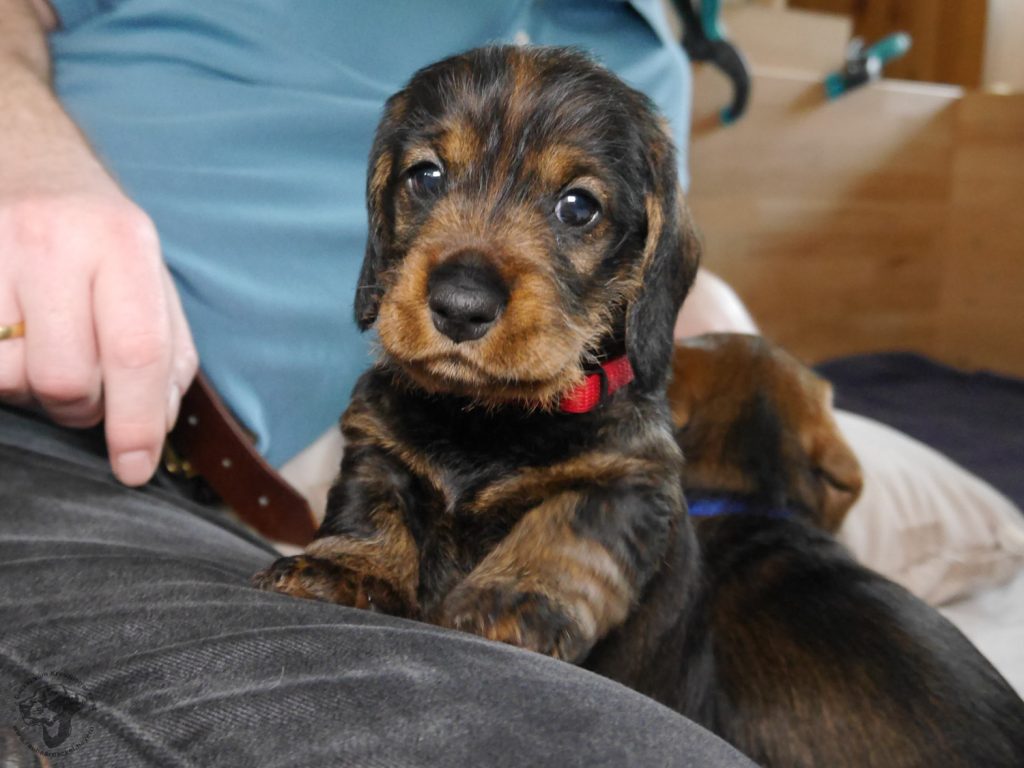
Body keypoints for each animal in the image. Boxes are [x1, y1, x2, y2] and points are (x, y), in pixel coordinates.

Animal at [254, 46, 703, 666]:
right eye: (426, 176)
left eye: (578, 207)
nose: (460, 306)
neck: (487, 419)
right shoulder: (379, 443)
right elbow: (371, 504)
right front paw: (347, 566)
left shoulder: (628, 479)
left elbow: (566, 529)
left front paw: (507, 601)